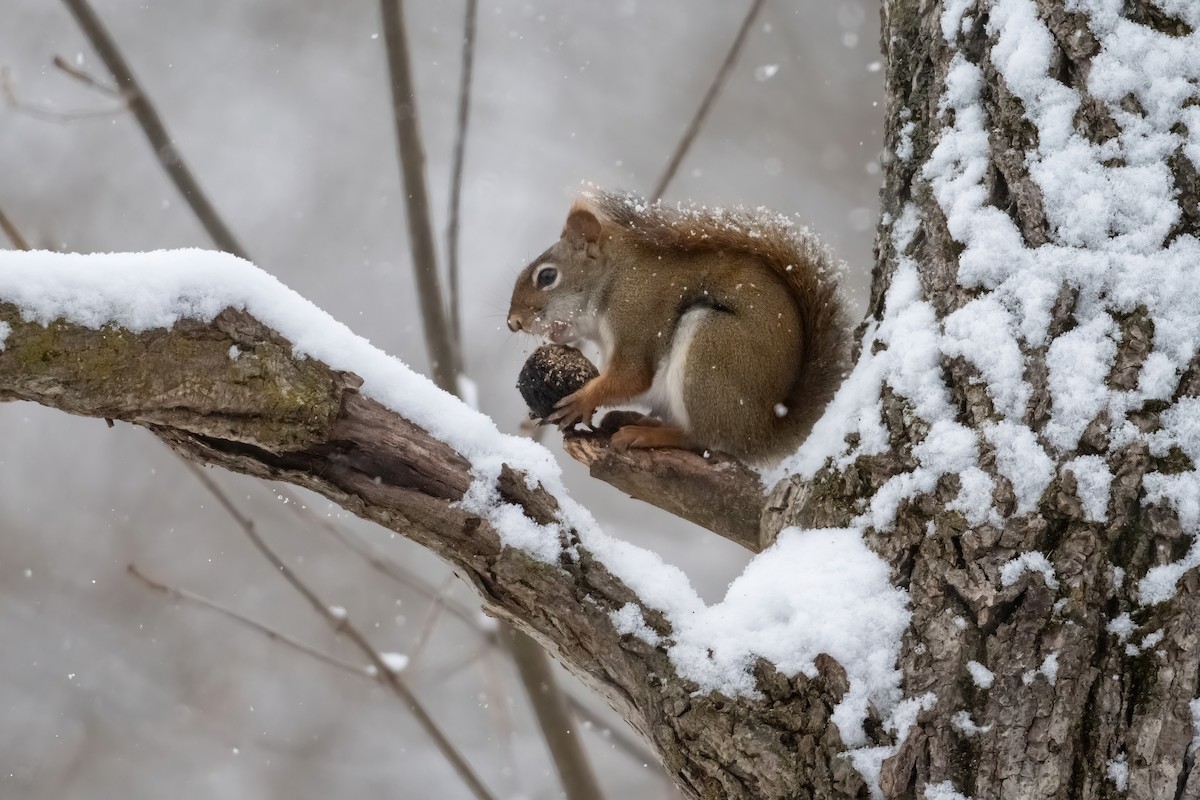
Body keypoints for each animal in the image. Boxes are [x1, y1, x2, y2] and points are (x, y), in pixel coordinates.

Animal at [507, 189, 849, 464]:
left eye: (547, 276)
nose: (513, 323)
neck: (614, 280)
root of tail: (759, 432)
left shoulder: (636, 317)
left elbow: (632, 377)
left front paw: (582, 400)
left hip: (711, 351)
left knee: (701, 438)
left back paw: (646, 435)